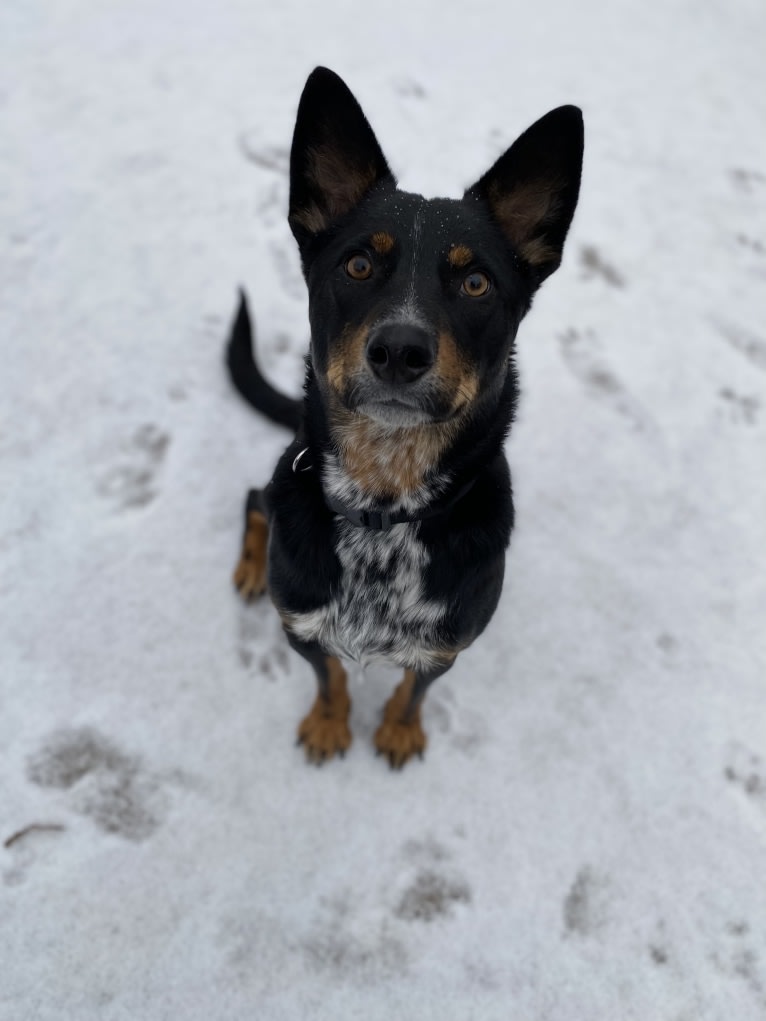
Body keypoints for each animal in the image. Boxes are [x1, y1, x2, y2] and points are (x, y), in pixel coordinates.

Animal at [224, 65, 584, 767]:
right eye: (358, 264)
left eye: (476, 283)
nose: (399, 350)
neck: (385, 504)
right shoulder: (301, 627)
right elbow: (331, 676)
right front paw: (330, 724)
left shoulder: (447, 645)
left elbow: (414, 687)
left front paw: (396, 729)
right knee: (254, 499)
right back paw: (251, 567)